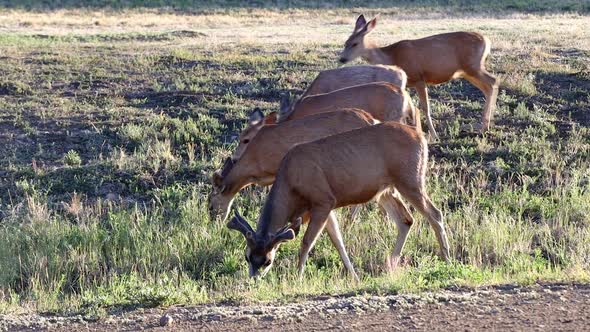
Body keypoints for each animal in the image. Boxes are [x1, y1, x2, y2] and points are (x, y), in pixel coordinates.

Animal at [229, 121, 450, 278]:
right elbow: (338, 240)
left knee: (434, 214)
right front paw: (354, 276)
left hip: (409, 180)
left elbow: (307, 241)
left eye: (268, 260)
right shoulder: (326, 207)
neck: (291, 183)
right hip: (385, 191)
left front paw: (298, 276)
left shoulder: (323, 200)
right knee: (406, 220)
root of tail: (421, 137)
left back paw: (447, 259)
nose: (254, 279)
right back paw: (390, 266)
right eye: (247, 256)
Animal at [342, 13, 500, 139]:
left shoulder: (419, 78)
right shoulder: (407, 84)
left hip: (473, 66)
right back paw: (486, 125)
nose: (342, 59)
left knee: (493, 81)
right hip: (467, 71)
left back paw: (484, 126)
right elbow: (410, 107)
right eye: (345, 43)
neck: (391, 57)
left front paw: (434, 135)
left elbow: (425, 107)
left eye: (355, 44)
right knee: (488, 87)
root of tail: (487, 41)